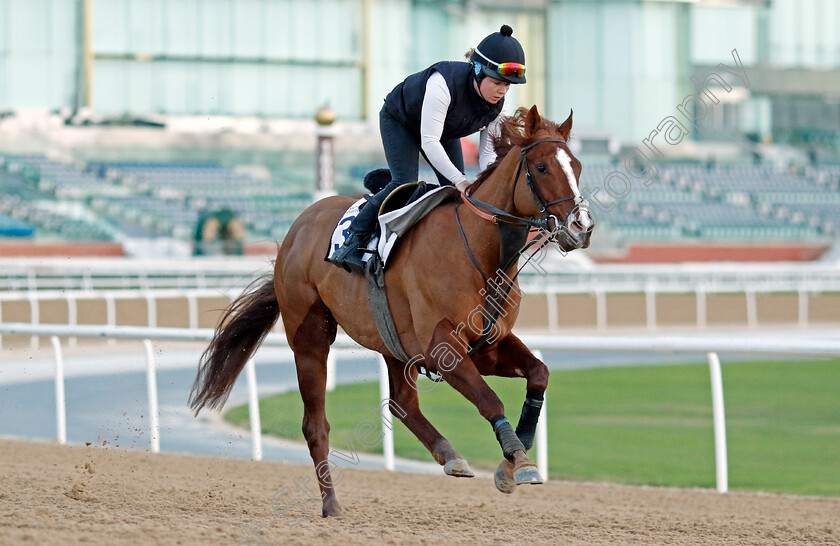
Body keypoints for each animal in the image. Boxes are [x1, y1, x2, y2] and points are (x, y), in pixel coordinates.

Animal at [190, 105, 596, 516]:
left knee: (402, 404)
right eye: (542, 168)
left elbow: (539, 373)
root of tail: (295, 230)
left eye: (577, 166)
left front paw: (512, 463)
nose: (581, 227)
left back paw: (449, 454)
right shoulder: (443, 347)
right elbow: (489, 399)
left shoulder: (486, 345)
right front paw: (520, 461)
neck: (479, 252)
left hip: (393, 345)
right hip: (310, 337)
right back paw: (331, 504)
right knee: (316, 424)